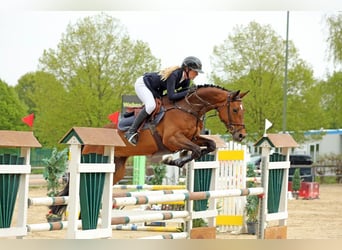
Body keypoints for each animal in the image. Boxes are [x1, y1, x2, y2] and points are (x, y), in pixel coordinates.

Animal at [50, 84, 247, 215]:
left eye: (242, 110)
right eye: (235, 110)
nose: (241, 136)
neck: (189, 108)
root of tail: (86, 140)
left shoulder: (192, 138)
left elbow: (209, 145)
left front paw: (177, 159)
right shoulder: (173, 140)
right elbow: (196, 151)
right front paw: (173, 160)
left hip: (116, 170)